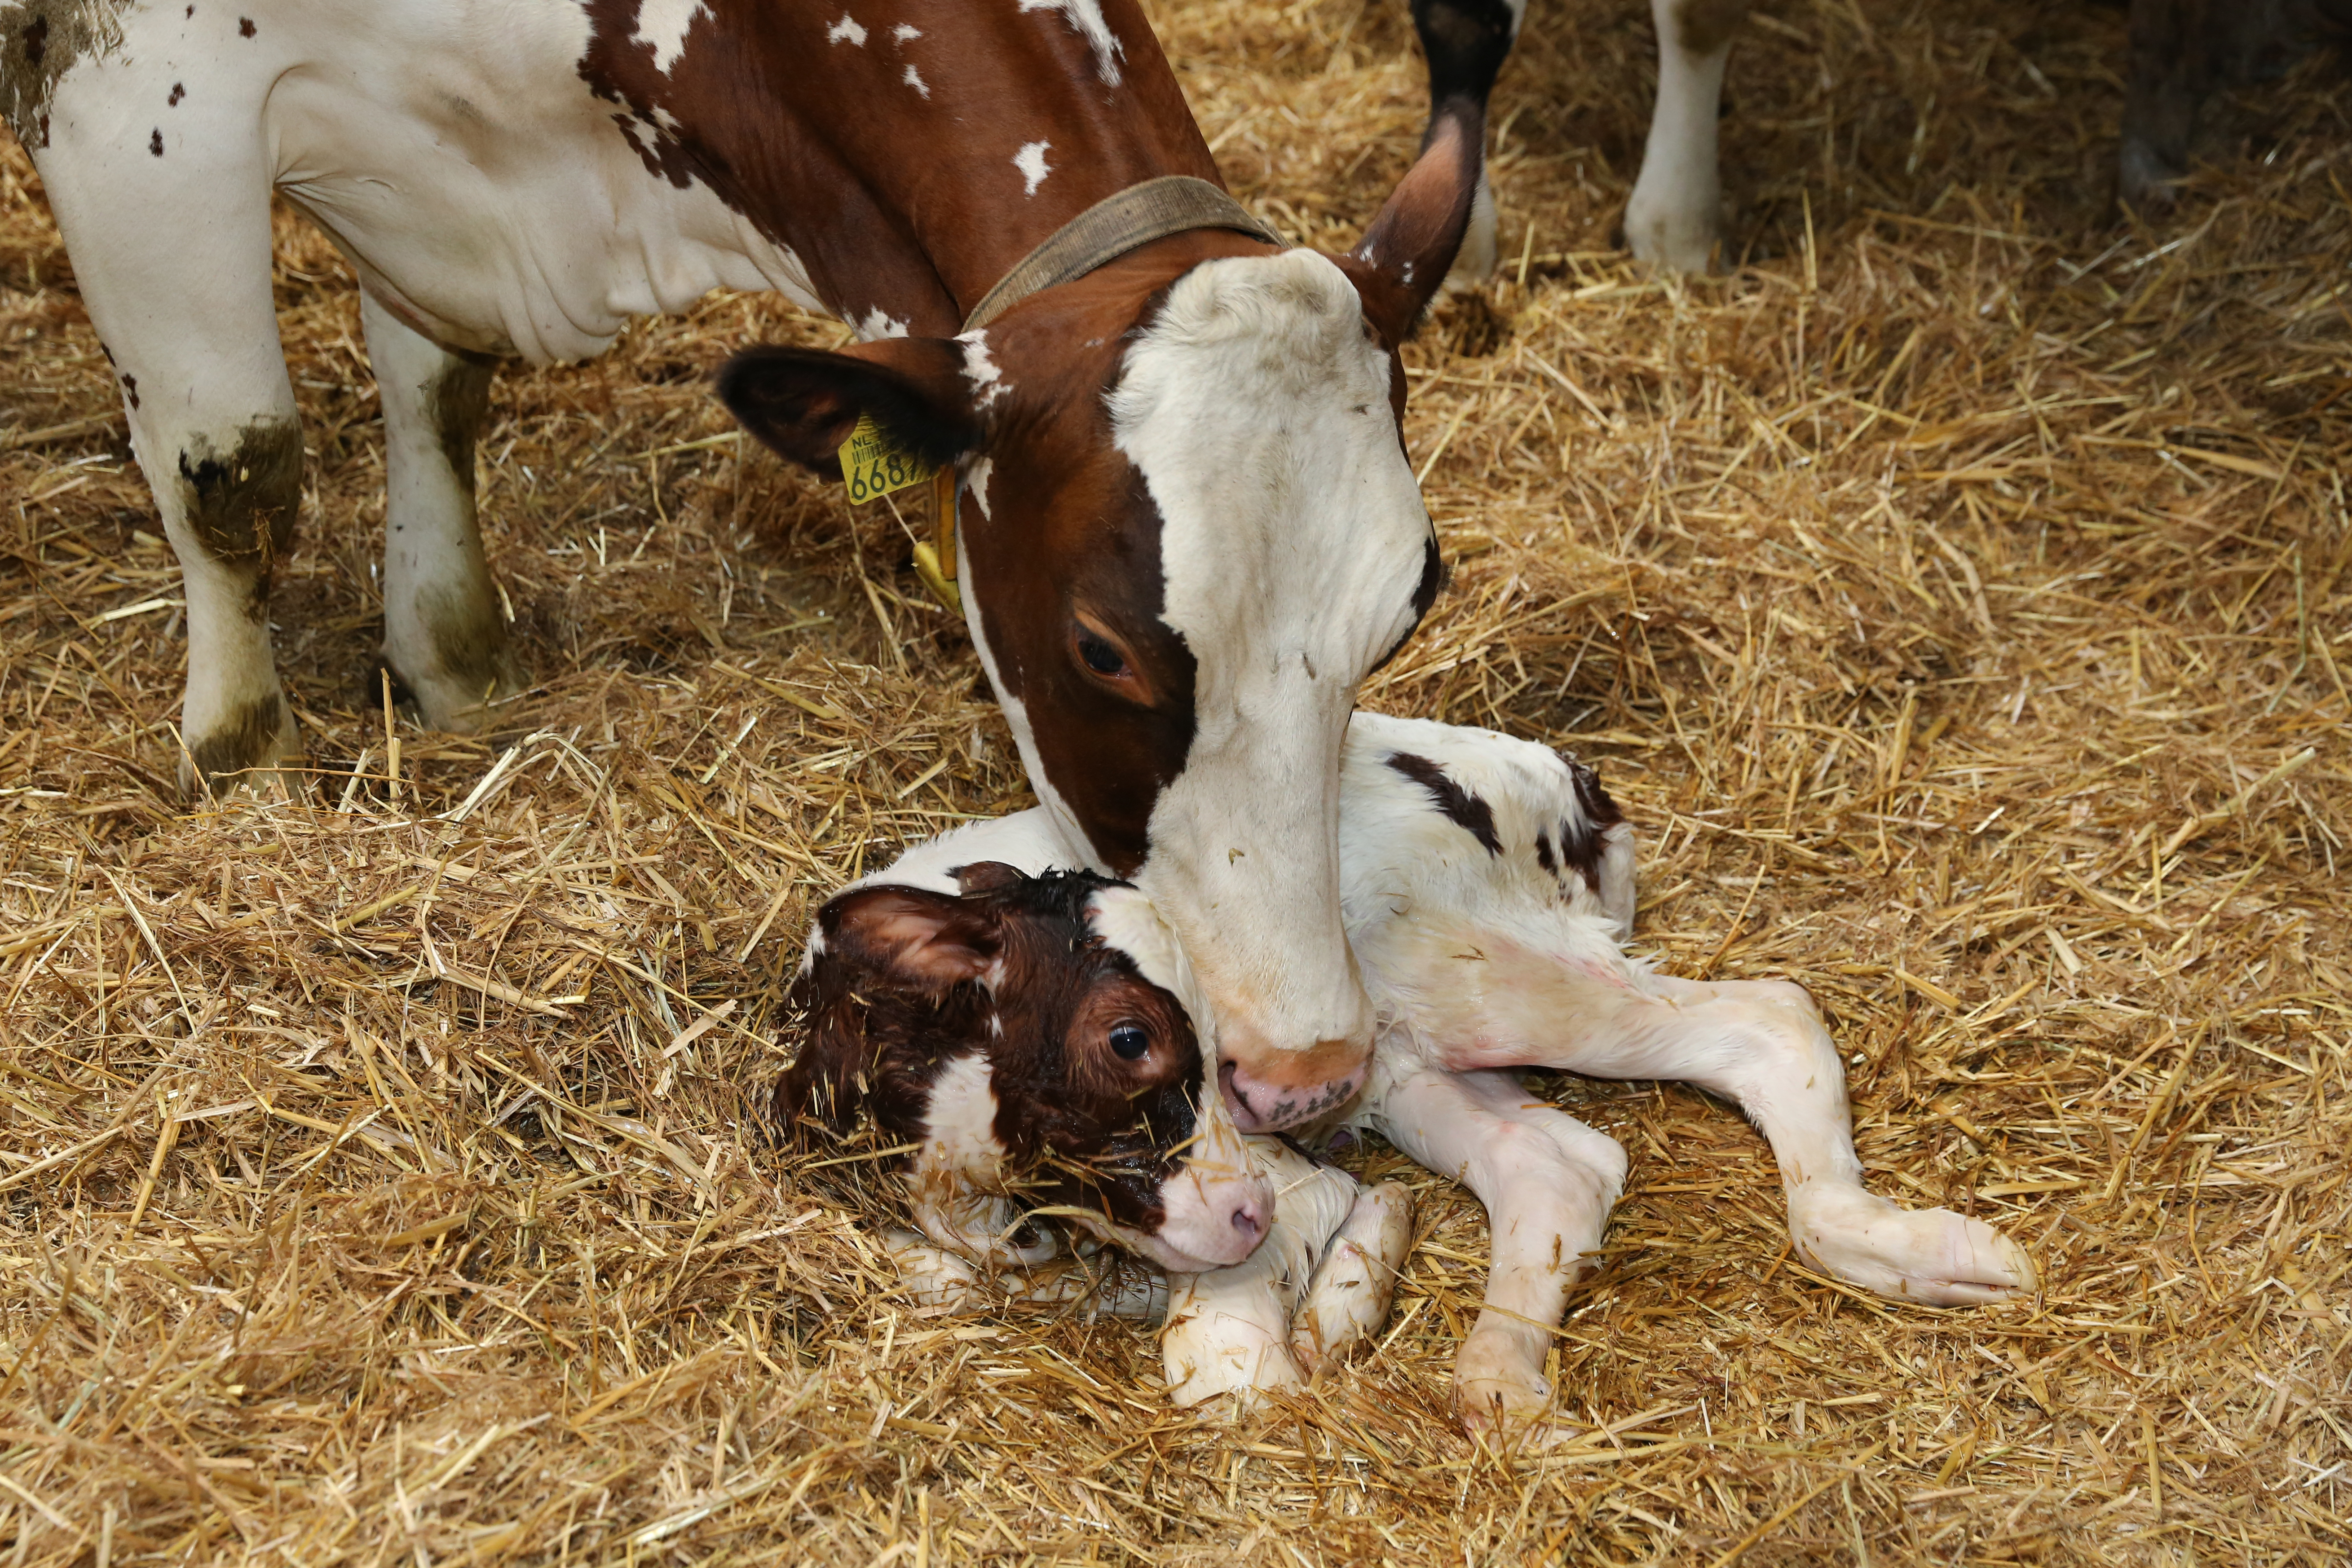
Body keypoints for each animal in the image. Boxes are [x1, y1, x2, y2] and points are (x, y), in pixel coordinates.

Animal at [1, 0, 1520, 1129]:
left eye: (1401, 616)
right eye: (1100, 648)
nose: (1309, 1073)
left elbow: (438, 385)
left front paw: (449, 656)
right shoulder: (129, 105)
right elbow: (232, 470)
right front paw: (240, 760)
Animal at [784, 711, 2036, 1433]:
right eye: (1128, 1038)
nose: (1241, 1212)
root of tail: (1554, 775)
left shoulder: (1274, 1174)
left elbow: (1232, 1360)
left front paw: (1323, 1317)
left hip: (1467, 970)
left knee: (1769, 1020)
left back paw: (1917, 1250)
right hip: (1392, 1058)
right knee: (1563, 1160)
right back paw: (1499, 1381)